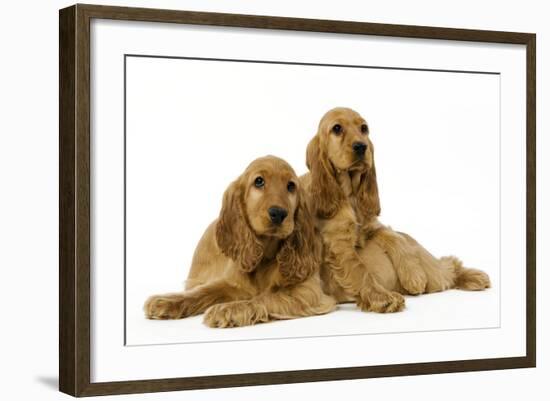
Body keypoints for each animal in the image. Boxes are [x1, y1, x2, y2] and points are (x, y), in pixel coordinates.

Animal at [144, 155, 338, 326]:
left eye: (291, 186)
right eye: (259, 181)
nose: (279, 213)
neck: (265, 256)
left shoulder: (308, 292)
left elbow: (266, 297)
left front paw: (227, 309)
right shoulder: (231, 283)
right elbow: (203, 291)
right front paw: (167, 301)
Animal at [302, 107, 492, 312]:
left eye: (364, 128)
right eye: (336, 128)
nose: (361, 146)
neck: (349, 194)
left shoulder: (373, 226)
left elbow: (396, 238)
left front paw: (414, 276)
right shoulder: (339, 245)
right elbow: (361, 270)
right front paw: (383, 297)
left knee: (447, 264)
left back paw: (475, 277)